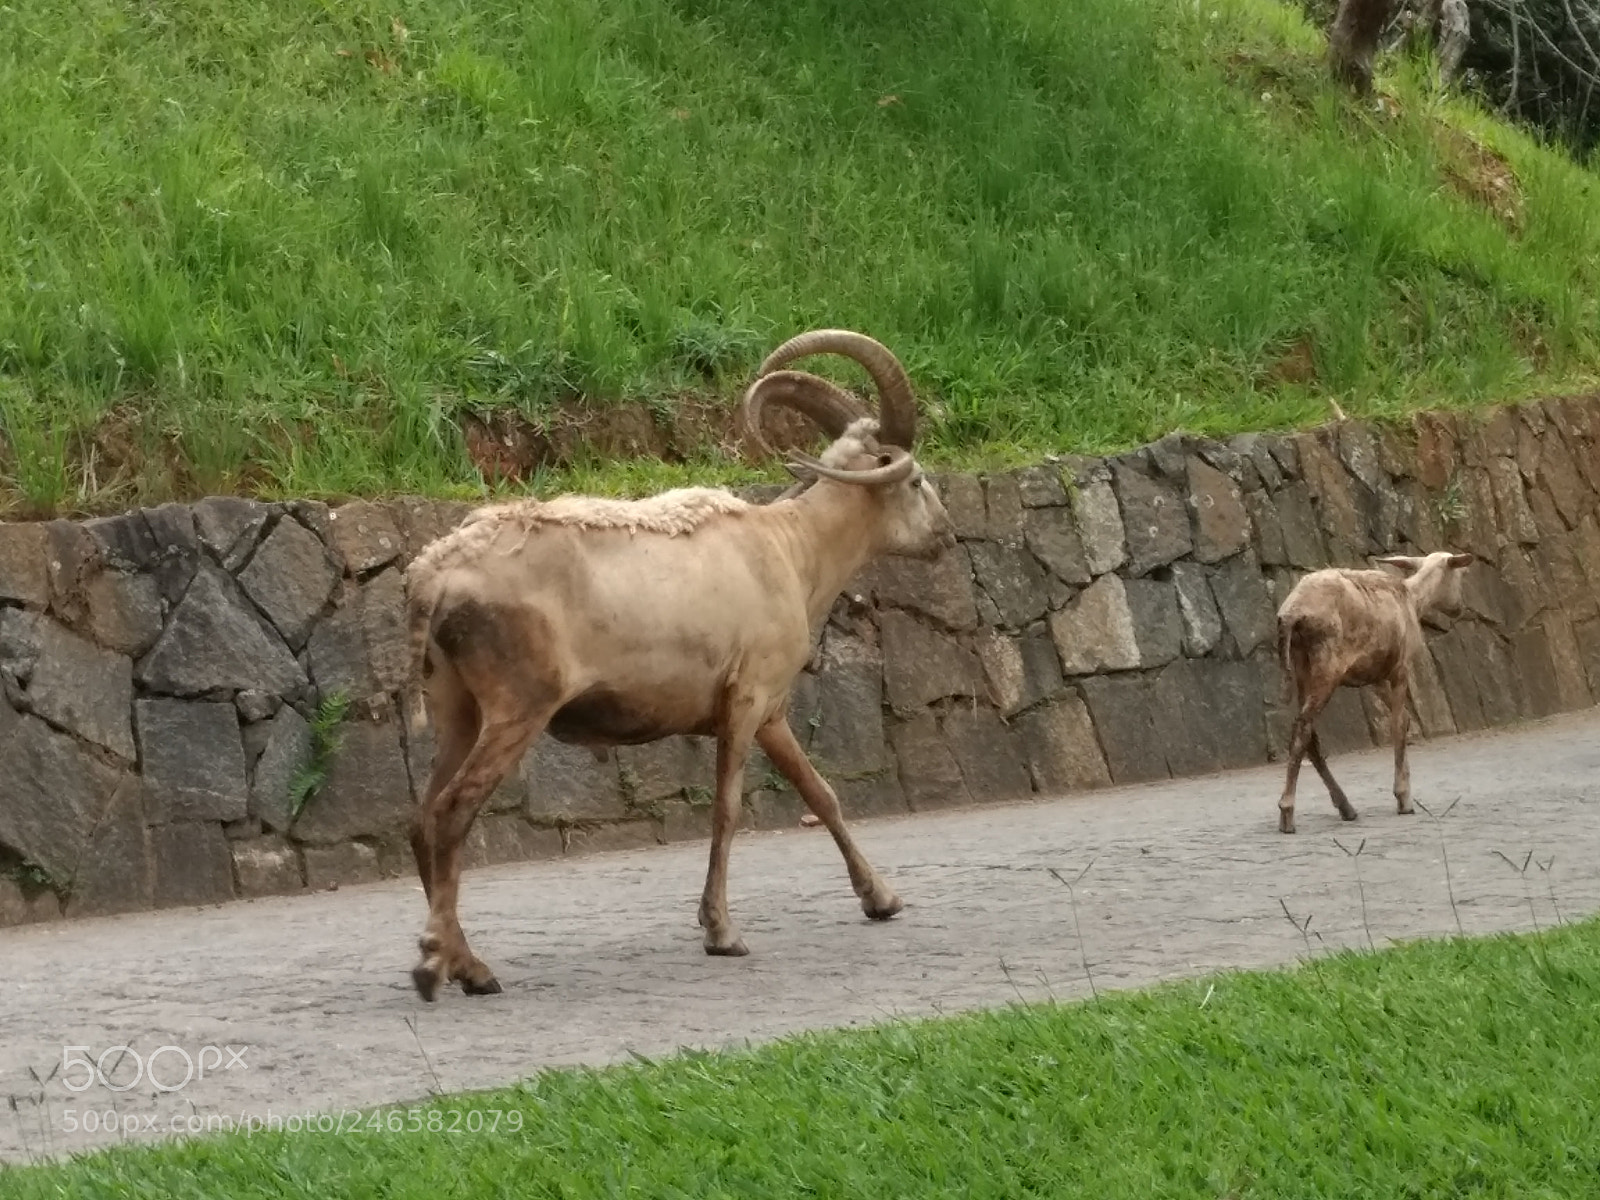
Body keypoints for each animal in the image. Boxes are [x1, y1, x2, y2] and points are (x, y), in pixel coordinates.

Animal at [401, 329, 956, 1000]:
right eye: (915, 479)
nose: (947, 535)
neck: (791, 550)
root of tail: (434, 576)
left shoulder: (771, 712)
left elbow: (820, 794)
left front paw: (881, 898)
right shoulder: (747, 697)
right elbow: (727, 810)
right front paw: (721, 931)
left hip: (455, 706)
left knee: (422, 819)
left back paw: (460, 962)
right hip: (517, 706)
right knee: (453, 813)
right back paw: (448, 965)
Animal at [1274, 551, 1474, 834]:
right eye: (1461, 573)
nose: (1459, 608)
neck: (1413, 599)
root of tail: (1291, 612)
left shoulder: (1376, 678)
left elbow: (1405, 720)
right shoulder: (1400, 669)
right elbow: (1398, 725)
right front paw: (1403, 798)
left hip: (1302, 667)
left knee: (1310, 736)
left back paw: (1345, 806)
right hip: (1327, 665)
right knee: (1302, 728)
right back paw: (1287, 812)